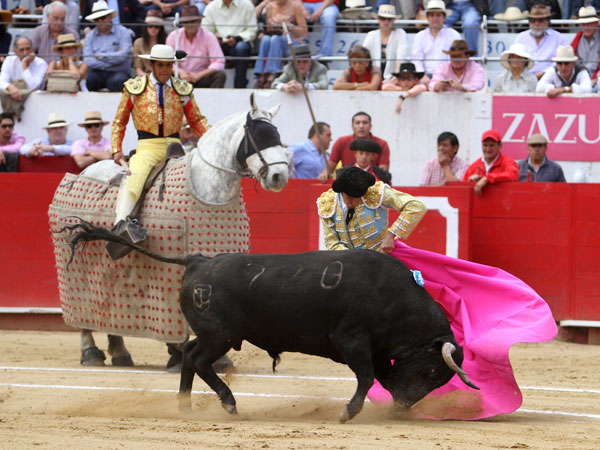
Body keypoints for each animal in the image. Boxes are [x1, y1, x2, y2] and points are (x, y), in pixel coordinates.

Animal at [49, 93, 290, 368]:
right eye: (261, 135)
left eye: (277, 135)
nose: (279, 176)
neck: (208, 187)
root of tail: (84, 171)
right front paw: (180, 353)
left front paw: (211, 357)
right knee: (83, 304)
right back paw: (90, 351)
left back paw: (120, 352)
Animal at [65, 223, 478, 424]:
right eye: (431, 370)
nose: (404, 407)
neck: (393, 297)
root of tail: (198, 261)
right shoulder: (353, 341)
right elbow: (366, 377)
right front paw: (348, 412)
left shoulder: (374, 350)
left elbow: (381, 376)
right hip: (221, 334)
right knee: (197, 360)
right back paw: (228, 403)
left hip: (214, 334)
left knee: (189, 357)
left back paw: (185, 406)